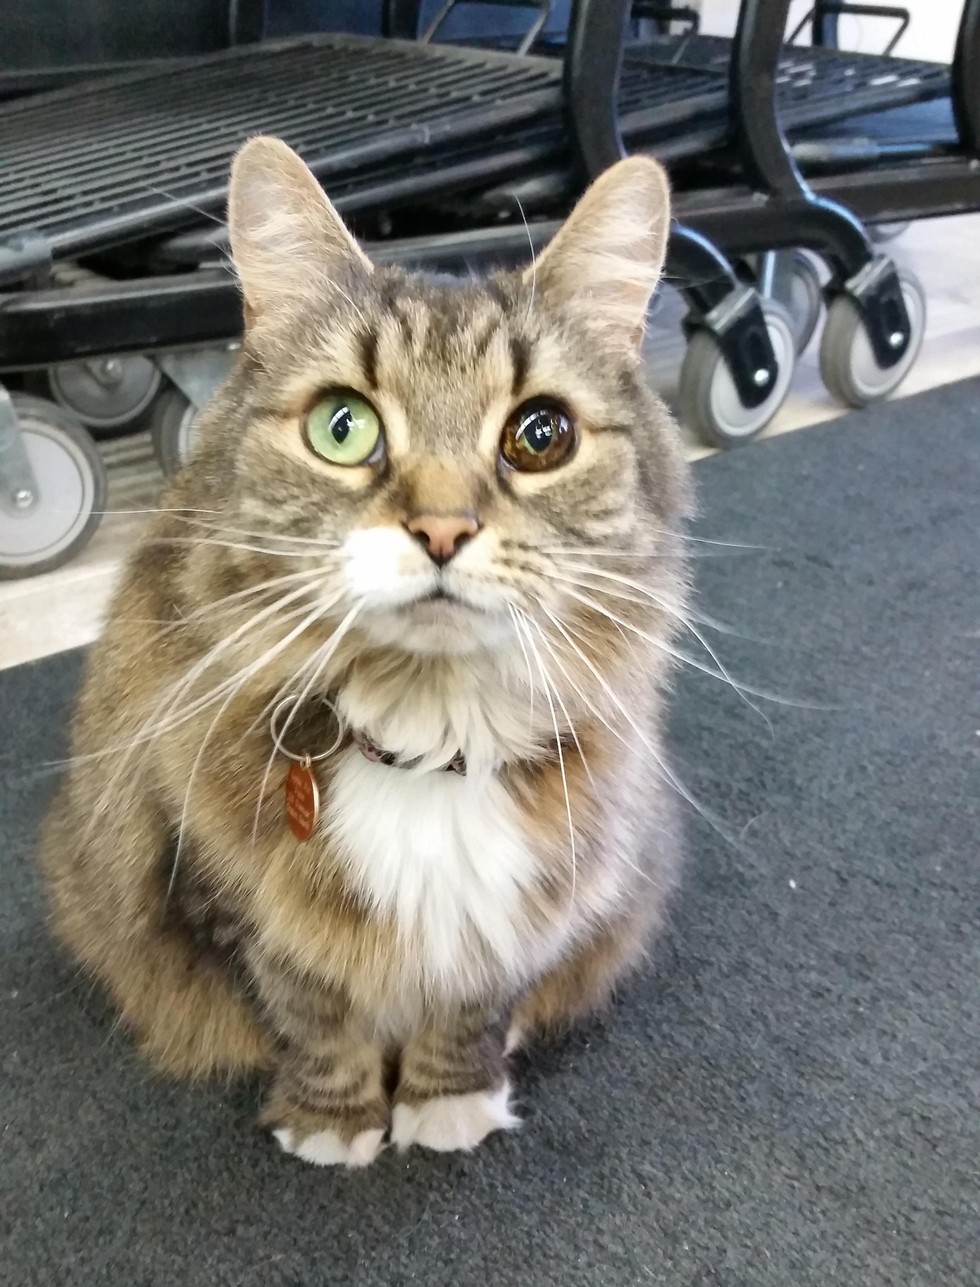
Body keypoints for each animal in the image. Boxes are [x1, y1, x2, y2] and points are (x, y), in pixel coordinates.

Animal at [40, 138, 690, 1168]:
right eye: (342, 427)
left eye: (539, 435)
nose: (442, 529)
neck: (429, 734)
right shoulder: (222, 890)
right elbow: (310, 1014)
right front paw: (332, 1123)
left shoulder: (545, 903)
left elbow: (472, 1008)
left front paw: (448, 1104)